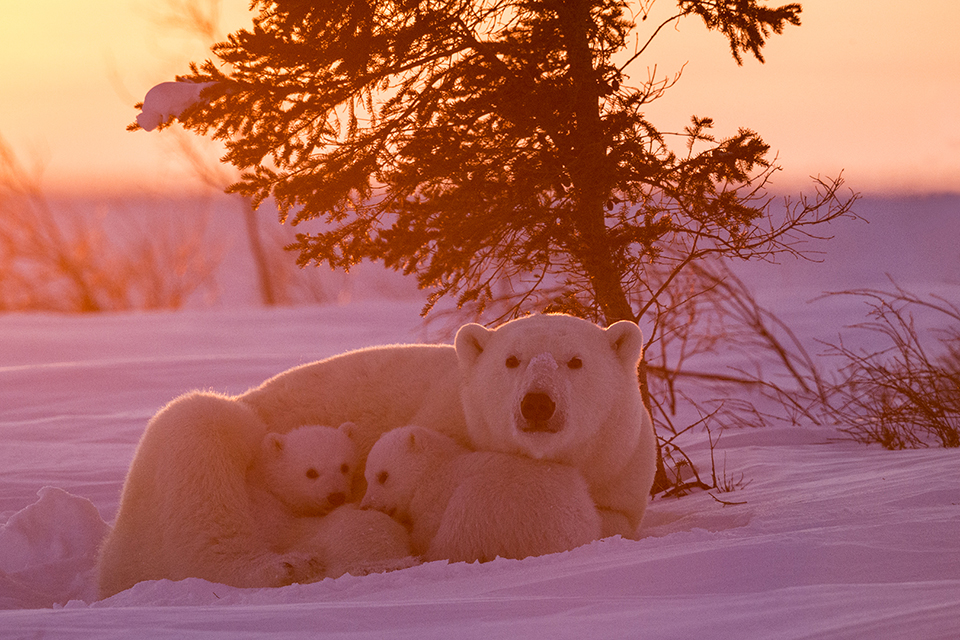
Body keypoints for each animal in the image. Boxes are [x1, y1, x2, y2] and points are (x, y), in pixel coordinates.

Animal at [362, 428, 600, 564]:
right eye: (367, 477)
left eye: (383, 476)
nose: (365, 505)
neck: (435, 470)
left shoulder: (435, 499)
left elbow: (427, 533)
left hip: (496, 506)